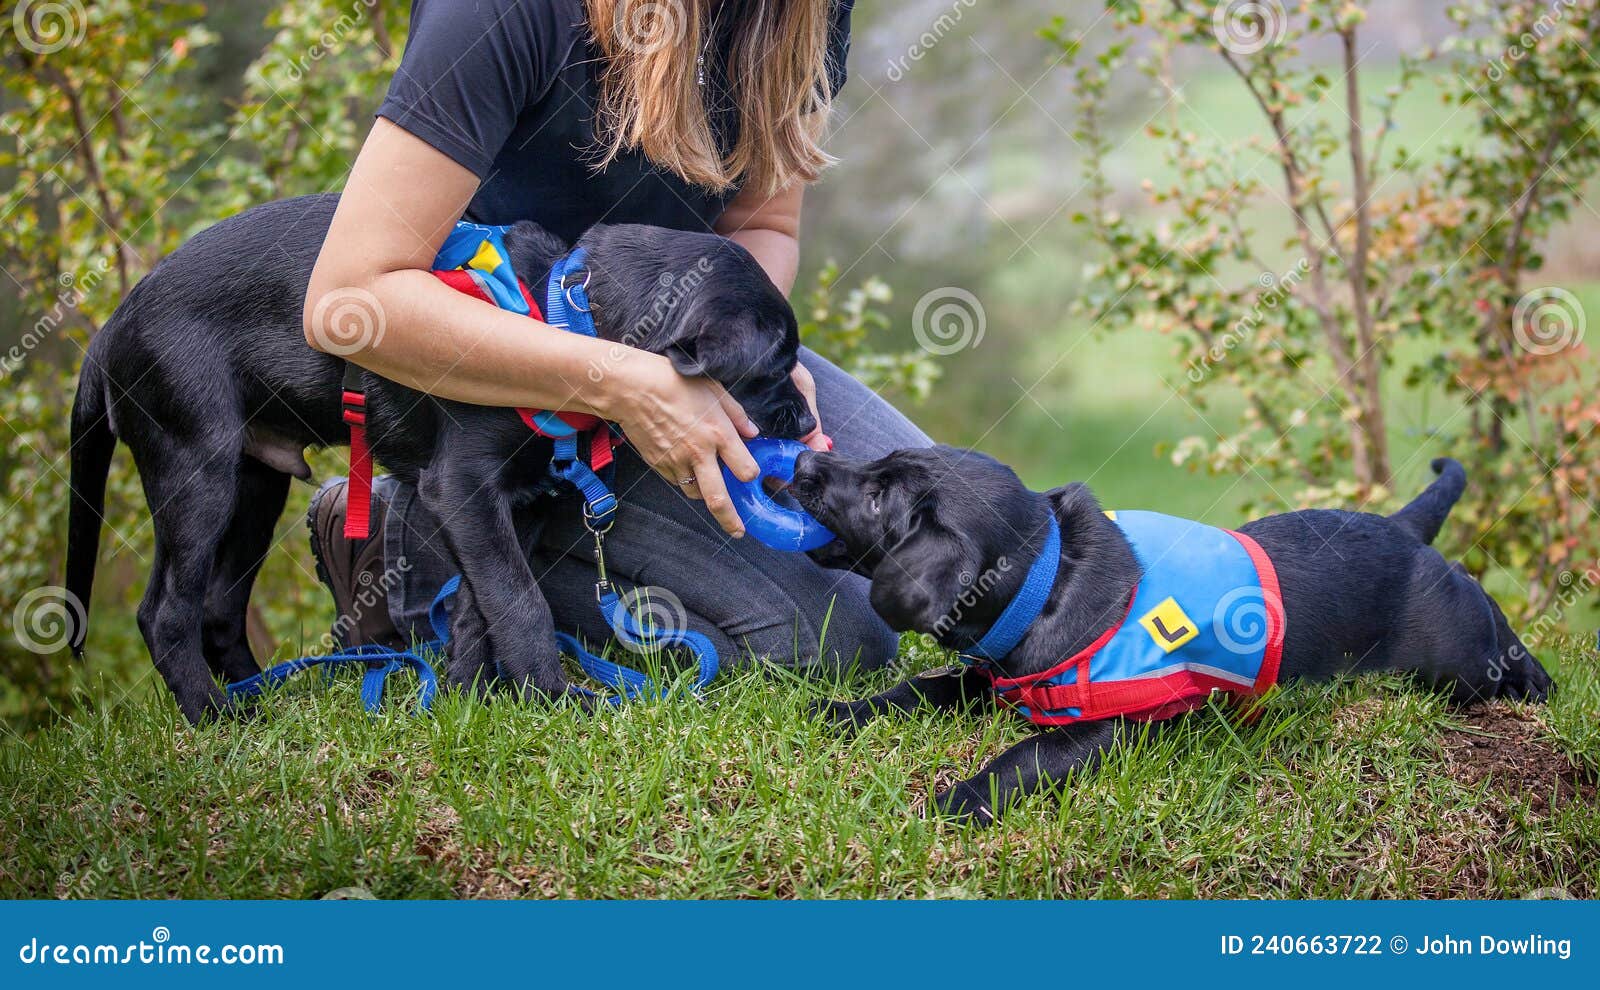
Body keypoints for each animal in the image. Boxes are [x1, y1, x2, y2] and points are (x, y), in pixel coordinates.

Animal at [62, 193, 812, 722]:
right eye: (773, 367)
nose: (808, 423)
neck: (564, 314)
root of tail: (110, 329)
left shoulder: (517, 503)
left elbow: (484, 606)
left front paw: (463, 698)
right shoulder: (463, 488)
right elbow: (521, 603)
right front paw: (555, 699)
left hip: (256, 483)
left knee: (218, 606)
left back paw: (261, 696)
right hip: (198, 469)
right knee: (165, 612)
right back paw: (216, 716)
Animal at [793, 444, 1555, 825]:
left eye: (878, 499)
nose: (801, 463)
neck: (1048, 578)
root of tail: (1403, 530)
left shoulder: (1107, 728)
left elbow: (1023, 758)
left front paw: (960, 801)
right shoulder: (989, 678)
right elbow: (915, 692)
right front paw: (840, 712)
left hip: (1463, 654)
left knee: (1508, 654)